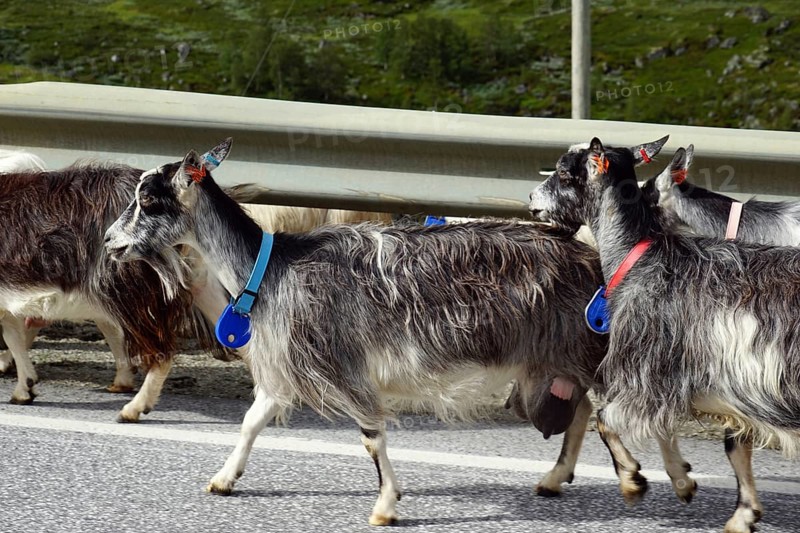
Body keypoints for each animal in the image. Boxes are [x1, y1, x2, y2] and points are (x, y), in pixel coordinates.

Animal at [103, 143, 609, 526]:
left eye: (149, 200)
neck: (271, 268)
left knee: (603, 412)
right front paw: (224, 478)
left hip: (580, 346)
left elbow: (370, 435)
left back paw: (615, 477)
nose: (109, 241)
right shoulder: (289, 365)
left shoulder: (341, 364)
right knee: (583, 408)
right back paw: (556, 478)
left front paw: (385, 505)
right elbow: (252, 419)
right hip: (552, 361)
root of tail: (588, 256)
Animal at [530, 136, 800, 533]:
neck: (638, 256)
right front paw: (739, 511)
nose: (531, 198)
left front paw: (633, 481)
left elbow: (606, 419)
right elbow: (731, 443)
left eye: (565, 172)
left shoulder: (650, 369)